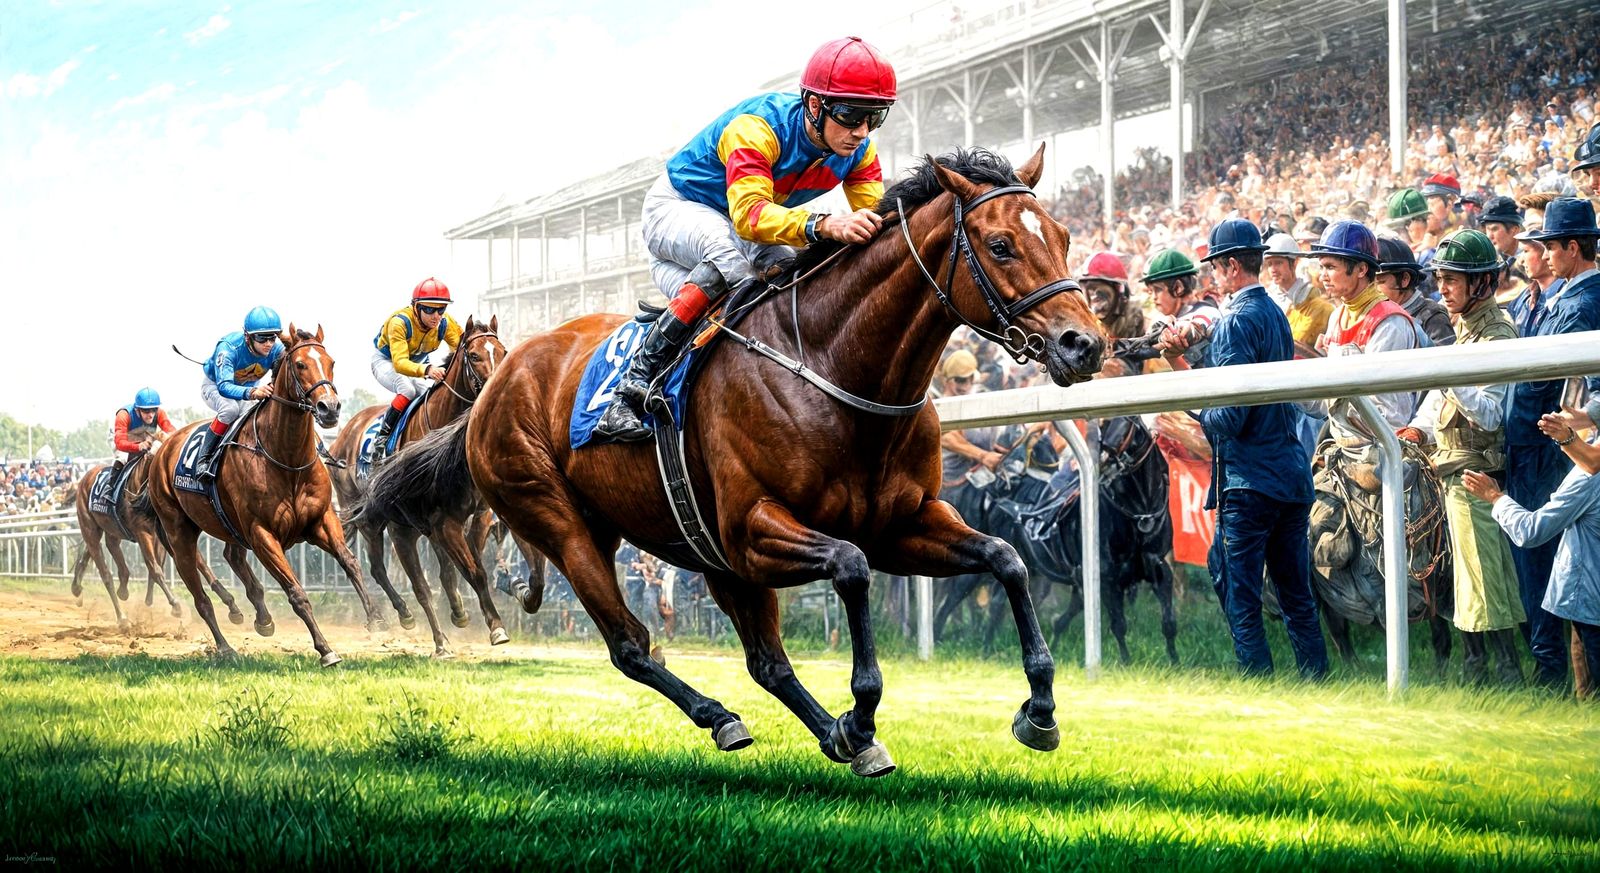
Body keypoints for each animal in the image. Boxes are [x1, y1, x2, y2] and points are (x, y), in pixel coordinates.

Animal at [67, 460, 243, 628]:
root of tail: (85, 479)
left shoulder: (162, 535)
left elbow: (198, 564)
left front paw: (231, 604)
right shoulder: (144, 533)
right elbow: (156, 569)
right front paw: (175, 605)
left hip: (110, 529)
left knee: (105, 552)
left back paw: (86, 587)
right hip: (90, 528)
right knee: (105, 574)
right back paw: (121, 617)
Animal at [142, 325, 382, 665]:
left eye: (331, 362)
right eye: (300, 365)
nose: (330, 408)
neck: (286, 458)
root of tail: (161, 451)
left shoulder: (322, 520)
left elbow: (350, 563)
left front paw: (377, 618)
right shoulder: (262, 534)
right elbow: (296, 593)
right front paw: (325, 649)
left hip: (229, 526)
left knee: (233, 558)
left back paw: (262, 619)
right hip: (179, 532)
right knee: (200, 596)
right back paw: (225, 647)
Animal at [330, 315, 511, 656]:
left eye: (503, 352)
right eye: (475, 356)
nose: (497, 391)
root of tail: (343, 436)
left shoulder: (475, 515)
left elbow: (468, 568)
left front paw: (468, 614)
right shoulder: (433, 521)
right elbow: (462, 572)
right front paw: (492, 628)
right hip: (370, 520)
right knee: (375, 568)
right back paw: (394, 616)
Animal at [361, 146, 1106, 775]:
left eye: (1064, 237)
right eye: (1000, 244)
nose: (1085, 344)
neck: (831, 362)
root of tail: (493, 385)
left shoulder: (902, 521)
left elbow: (1006, 559)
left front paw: (1040, 711)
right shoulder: (755, 528)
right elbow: (851, 568)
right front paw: (862, 713)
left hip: (696, 547)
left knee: (764, 661)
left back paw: (821, 732)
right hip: (564, 523)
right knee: (631, 644)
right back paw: (722, 716)